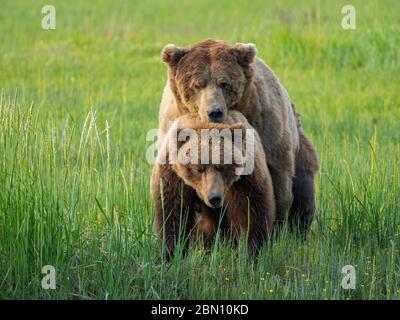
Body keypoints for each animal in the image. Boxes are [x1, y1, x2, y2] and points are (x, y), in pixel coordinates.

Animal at [150, 111, 276, 258]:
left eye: (222, 166)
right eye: (199, 168)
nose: (214, 198)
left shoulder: (245, 179)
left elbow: (250, 212)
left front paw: (252, 251)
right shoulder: (174, 178)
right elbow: (173, 212)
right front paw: (171, 253)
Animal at [156, 39, 318, 232]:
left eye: (224, 83)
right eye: (197, 85)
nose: (214, 112)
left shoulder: (265, 124)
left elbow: (276, 183)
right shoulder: (173, 123)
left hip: (299, 146)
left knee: (303, 188)